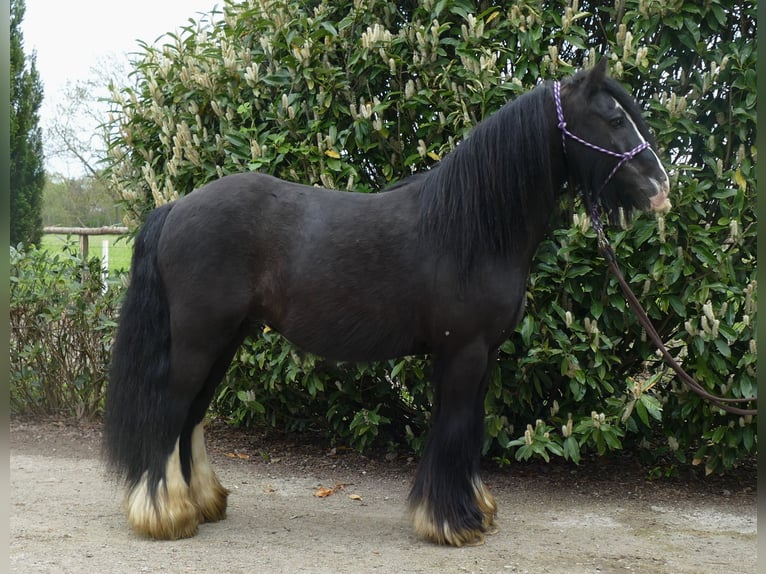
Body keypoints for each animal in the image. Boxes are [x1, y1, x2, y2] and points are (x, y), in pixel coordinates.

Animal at [105, 59, 668, 548]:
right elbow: (455, 429)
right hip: (200, 339)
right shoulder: (462, 352)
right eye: (614, 118)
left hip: (226, 338)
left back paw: (200, 503)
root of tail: (177, 207)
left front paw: (476, 511)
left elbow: (469, 430)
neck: (470, 228)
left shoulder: (482, 355)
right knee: (171, 410)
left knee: (191, 416)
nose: (661, 187)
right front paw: (451, 522)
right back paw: (167, 515)